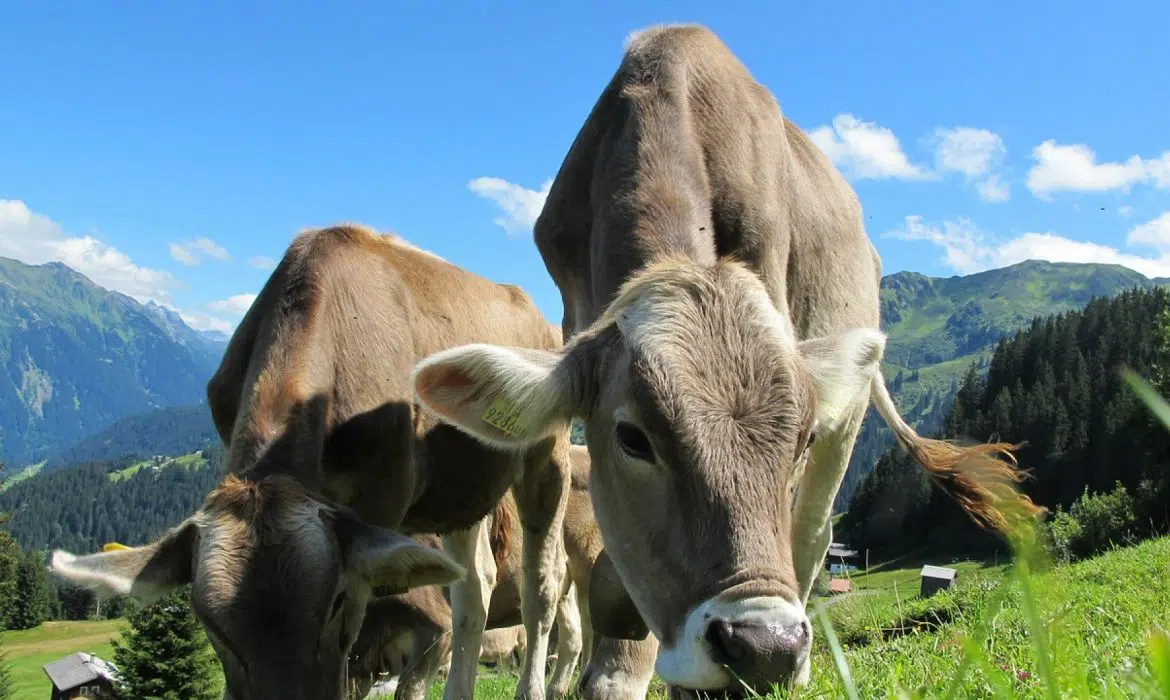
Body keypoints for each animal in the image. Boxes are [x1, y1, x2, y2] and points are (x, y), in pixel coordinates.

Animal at [47, 225, 573, 700]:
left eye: (335, 601)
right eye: (210, 623)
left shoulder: (381, 501)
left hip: (548, 455)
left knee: (542, 585)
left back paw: (534, 687)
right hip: (461, 491)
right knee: (474, 588)